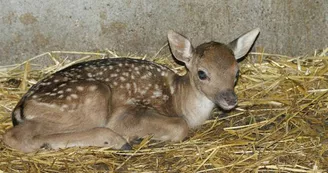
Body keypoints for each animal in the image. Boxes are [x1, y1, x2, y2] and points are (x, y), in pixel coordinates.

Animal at [2, 28, 258, 151]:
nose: (230, 99)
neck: (179, 100)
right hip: (89, 98)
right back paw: (117, 140)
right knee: (14, 136)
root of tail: (21, 107)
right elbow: (179, 126)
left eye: (237, 72)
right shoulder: (130, 111)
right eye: (202, 73)